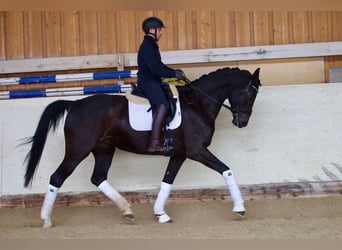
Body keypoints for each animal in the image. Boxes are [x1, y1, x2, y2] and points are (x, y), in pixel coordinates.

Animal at [22, 66, 260, 227]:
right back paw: (46, 220)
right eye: (250, 93)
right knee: (57, 178)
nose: (242, 122)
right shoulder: (196, 151)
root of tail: (75, 104)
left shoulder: (180, 154)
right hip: (77, 151)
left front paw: (160, 214)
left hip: (104, 149)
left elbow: (167, 181)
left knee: (98, 178)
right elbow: (226, 170)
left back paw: (127, 210)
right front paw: (240, 208)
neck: (198, 105)